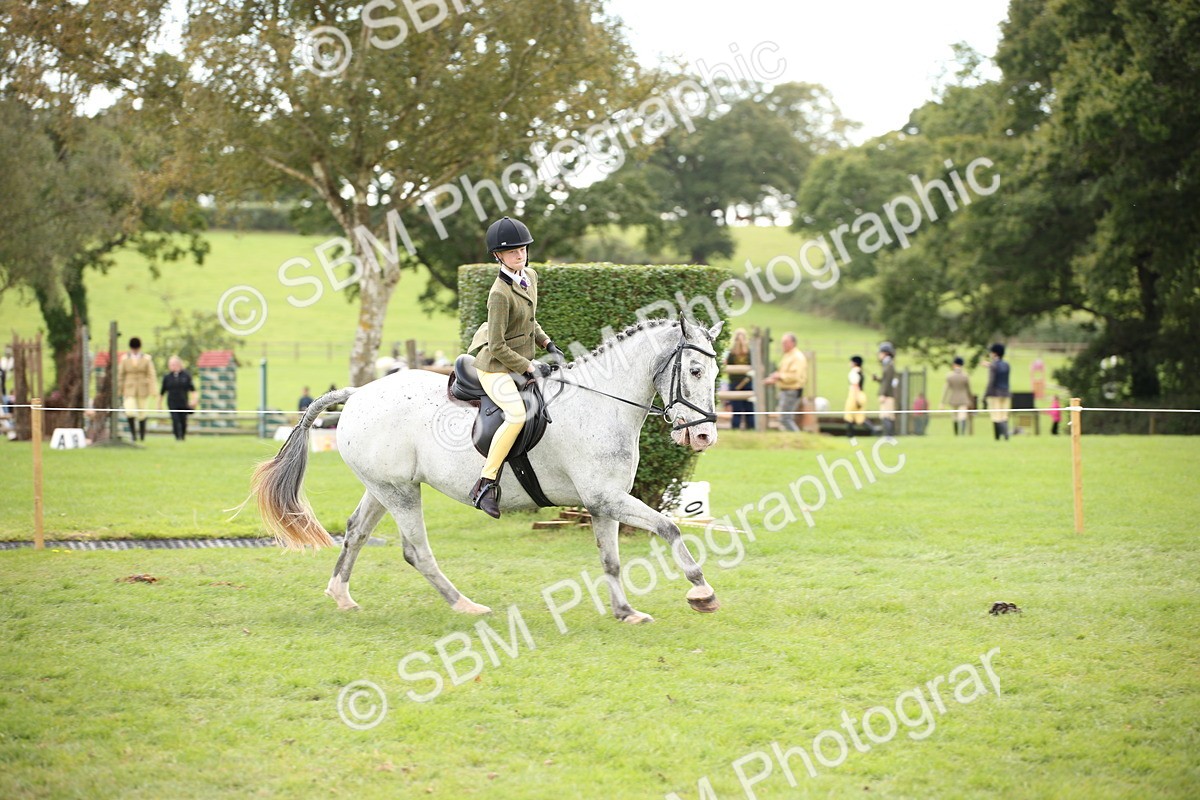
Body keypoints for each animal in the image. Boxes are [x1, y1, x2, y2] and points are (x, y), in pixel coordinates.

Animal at [251, 317, 724, 624]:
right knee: (415, 550)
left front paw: (625, 612)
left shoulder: (602, 502)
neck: (600, 403)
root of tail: (358, 393)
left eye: (717, 372)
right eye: (695, 370)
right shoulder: (607, 498)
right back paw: (466, 605)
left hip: (384, 487)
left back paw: (342, 596)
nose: (704, 437)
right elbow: (669, 527)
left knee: (356, 531)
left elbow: (610, 559)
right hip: (401, 492)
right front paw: (702, 591)